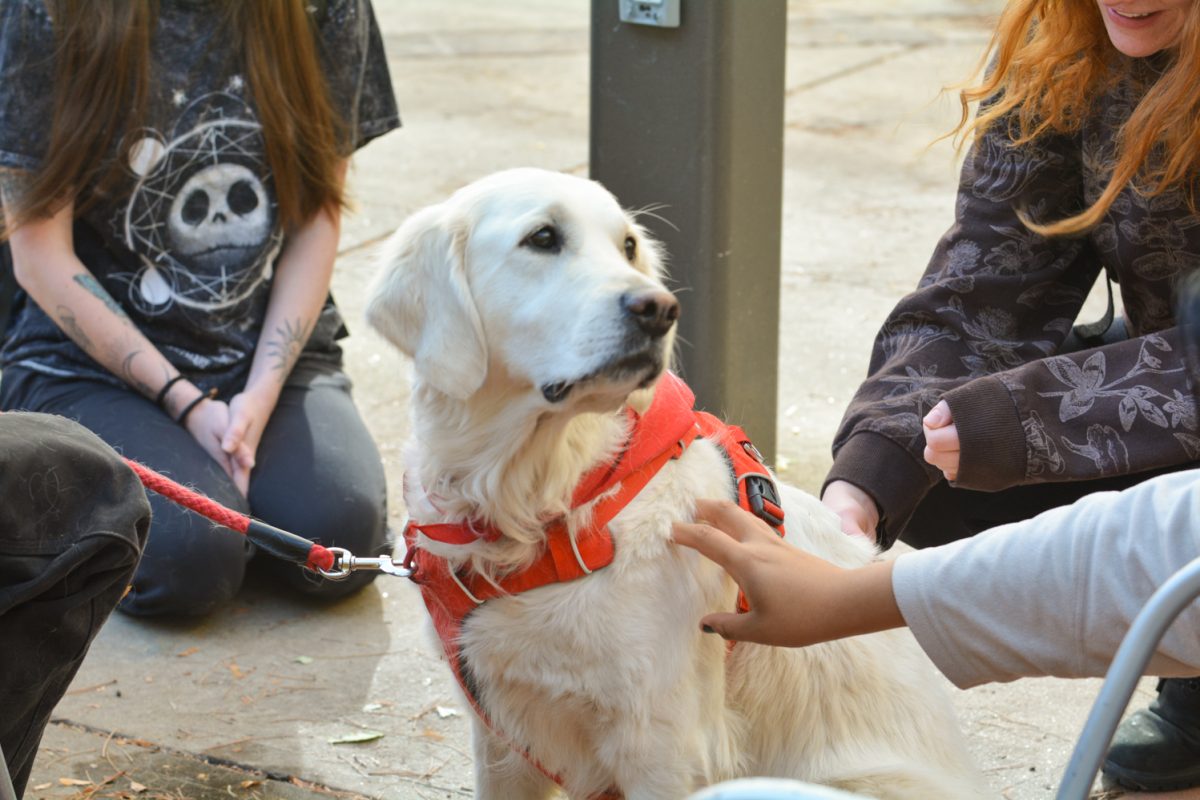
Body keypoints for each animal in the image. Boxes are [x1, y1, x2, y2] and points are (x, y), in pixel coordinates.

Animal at [369, 169, 988, 800]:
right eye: (542, 238)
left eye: (628, 246)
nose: (659, 309)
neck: (554, 502)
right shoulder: (501, 739)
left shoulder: (665, 745)